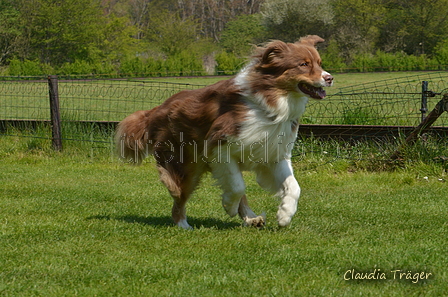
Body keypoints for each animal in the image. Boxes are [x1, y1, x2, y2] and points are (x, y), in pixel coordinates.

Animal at [115, 35, 332, 229]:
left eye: (319, 63)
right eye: (303, 64)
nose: (329, 78)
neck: (271, 101)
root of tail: (157, 109)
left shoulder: (273, 153)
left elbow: (294, 186)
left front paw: (285, 214)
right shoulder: (219, 145)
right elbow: (237, 186)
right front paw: (229, 205)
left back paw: (252, 218)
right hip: (185, 165)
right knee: (179, 198)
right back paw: (183, 225)